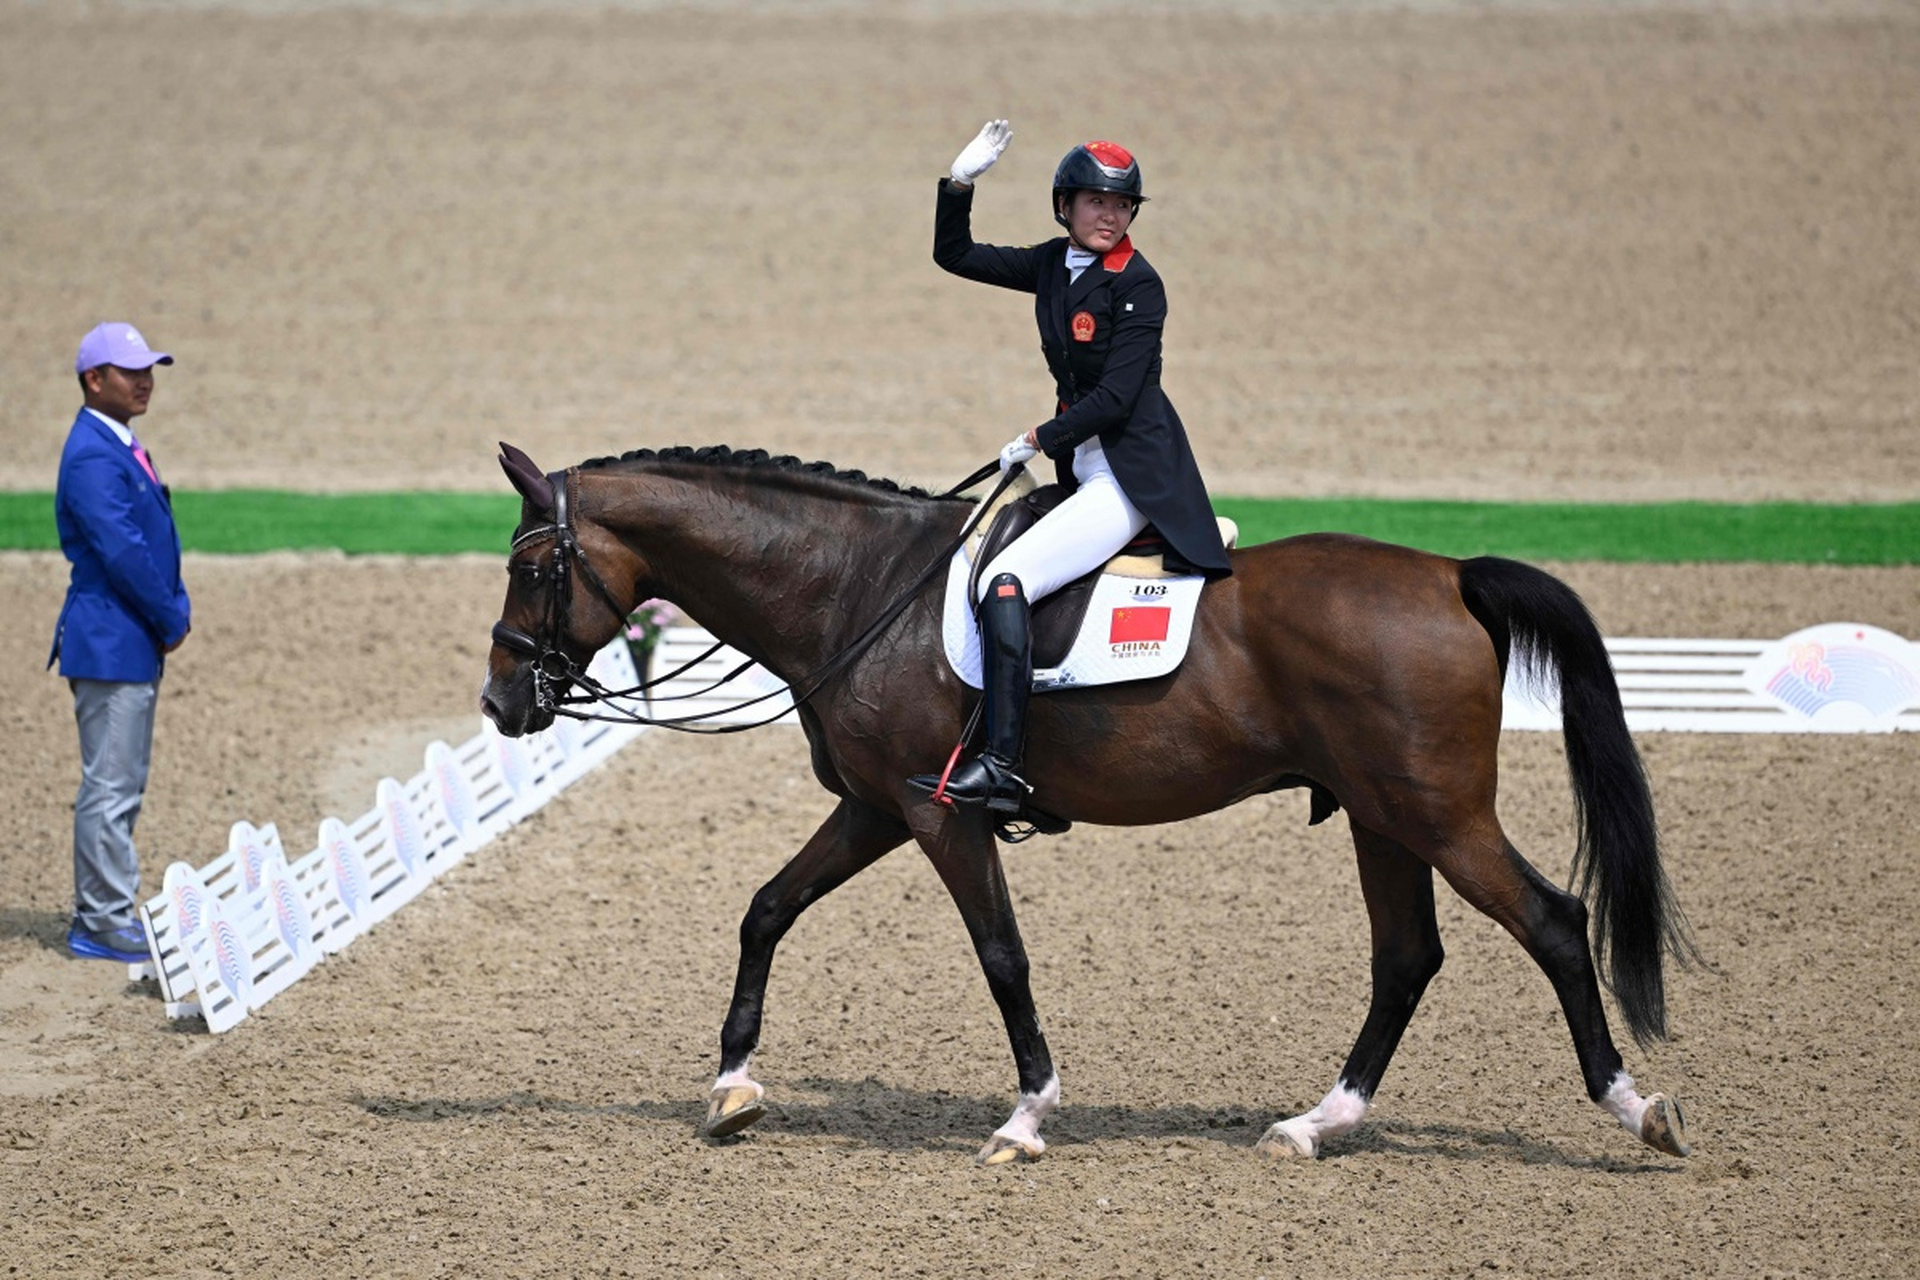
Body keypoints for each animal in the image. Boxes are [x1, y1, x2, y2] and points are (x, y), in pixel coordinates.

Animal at [480, 445, 1697, 1166]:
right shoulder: (879, 808)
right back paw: (1317, 1123)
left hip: (1436, 814)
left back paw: (1637, 1107)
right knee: (1406, 957)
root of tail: (1449, 575)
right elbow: (766, 908)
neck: (856, 589)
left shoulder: (943, 814)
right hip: (1380, 817)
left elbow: (1001, 956)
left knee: (1551, 923)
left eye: (532, 568)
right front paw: (733, 1086)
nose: (499, 703)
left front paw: (1025, 1117)